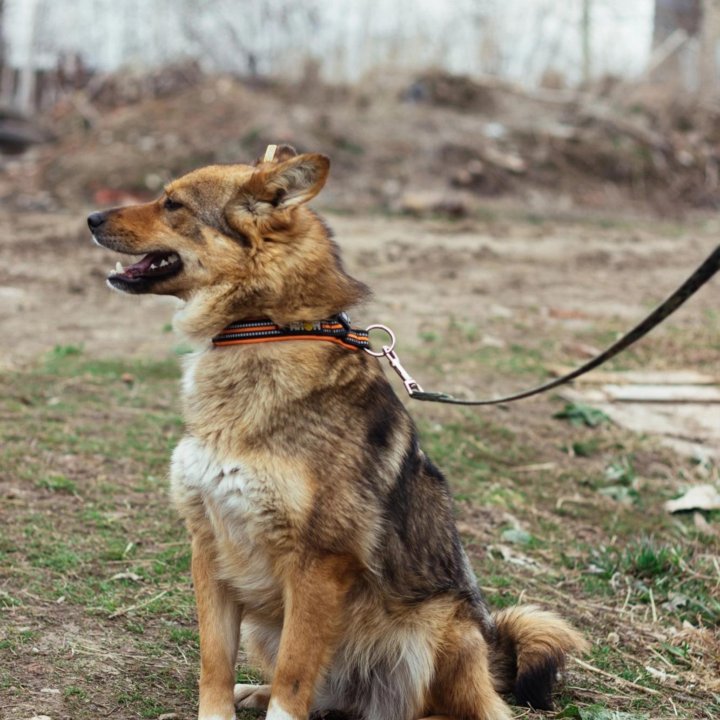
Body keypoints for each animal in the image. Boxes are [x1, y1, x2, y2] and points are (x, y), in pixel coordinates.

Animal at [88, 146, 584, 720]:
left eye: (173, 204)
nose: (90, 218)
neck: (263, 328)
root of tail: (492, 655)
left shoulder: (318, 564)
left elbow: (294, 680)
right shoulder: (209, 544)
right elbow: (215, 664)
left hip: (438, 629)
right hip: (268, 624)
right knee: (326, 694)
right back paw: (255, 691)